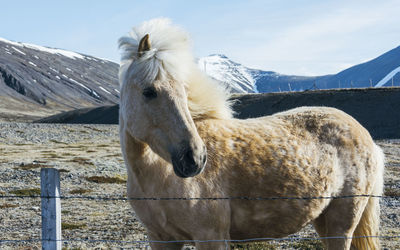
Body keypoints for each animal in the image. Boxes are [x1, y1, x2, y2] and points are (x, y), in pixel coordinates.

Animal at [118, 18, 384, 249]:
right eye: (149, 92)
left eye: (184, 92)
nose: (194, 159)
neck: (157, 174)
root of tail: (366, 136)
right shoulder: (161, 239)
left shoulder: (211, 236)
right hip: (323, 219)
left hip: (342, 223)